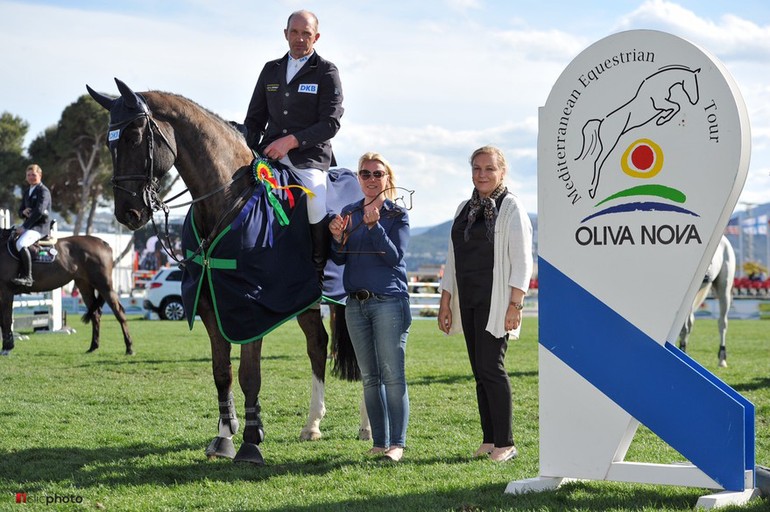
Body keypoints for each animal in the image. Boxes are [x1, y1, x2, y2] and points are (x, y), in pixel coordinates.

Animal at [0, 230, 134, 354]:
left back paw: (129, 348)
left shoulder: (6, 291)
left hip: (104, 285)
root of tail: (102, 243)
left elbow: (6, 320)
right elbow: (4, 320)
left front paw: (7, 348)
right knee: (96, 315)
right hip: (84, 285)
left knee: (119, 312)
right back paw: (93, 347)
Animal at [88, 78, 360, 466]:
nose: (128, 212)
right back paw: (312, 424)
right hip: (305, 301)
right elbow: (222, 372)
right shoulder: (211, 303)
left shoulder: (251, 307)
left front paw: (250, 441)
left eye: (135, 135)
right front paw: (224, 436)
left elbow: (249, 374)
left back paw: (366, 427)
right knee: (317, 345)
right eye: (110, 141)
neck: (226, 198)